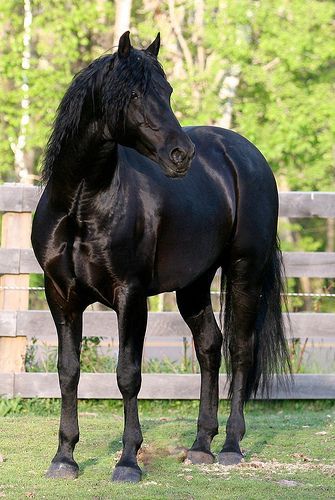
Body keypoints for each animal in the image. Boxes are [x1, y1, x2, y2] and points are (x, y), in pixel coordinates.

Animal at [31, 32, 290, 484]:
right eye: (134, 94)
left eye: (166, 92)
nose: (181, 154)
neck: (80, 203)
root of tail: (245, 155)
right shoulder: (60, 296)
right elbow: (68, 371)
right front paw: (64, 458)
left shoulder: (130, 296)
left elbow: (128, 375)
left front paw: (127, 461)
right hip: (193, 285)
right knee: (209, 347)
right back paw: (201, 445)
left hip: (245, 271)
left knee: (241, 350)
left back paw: (231, 447)